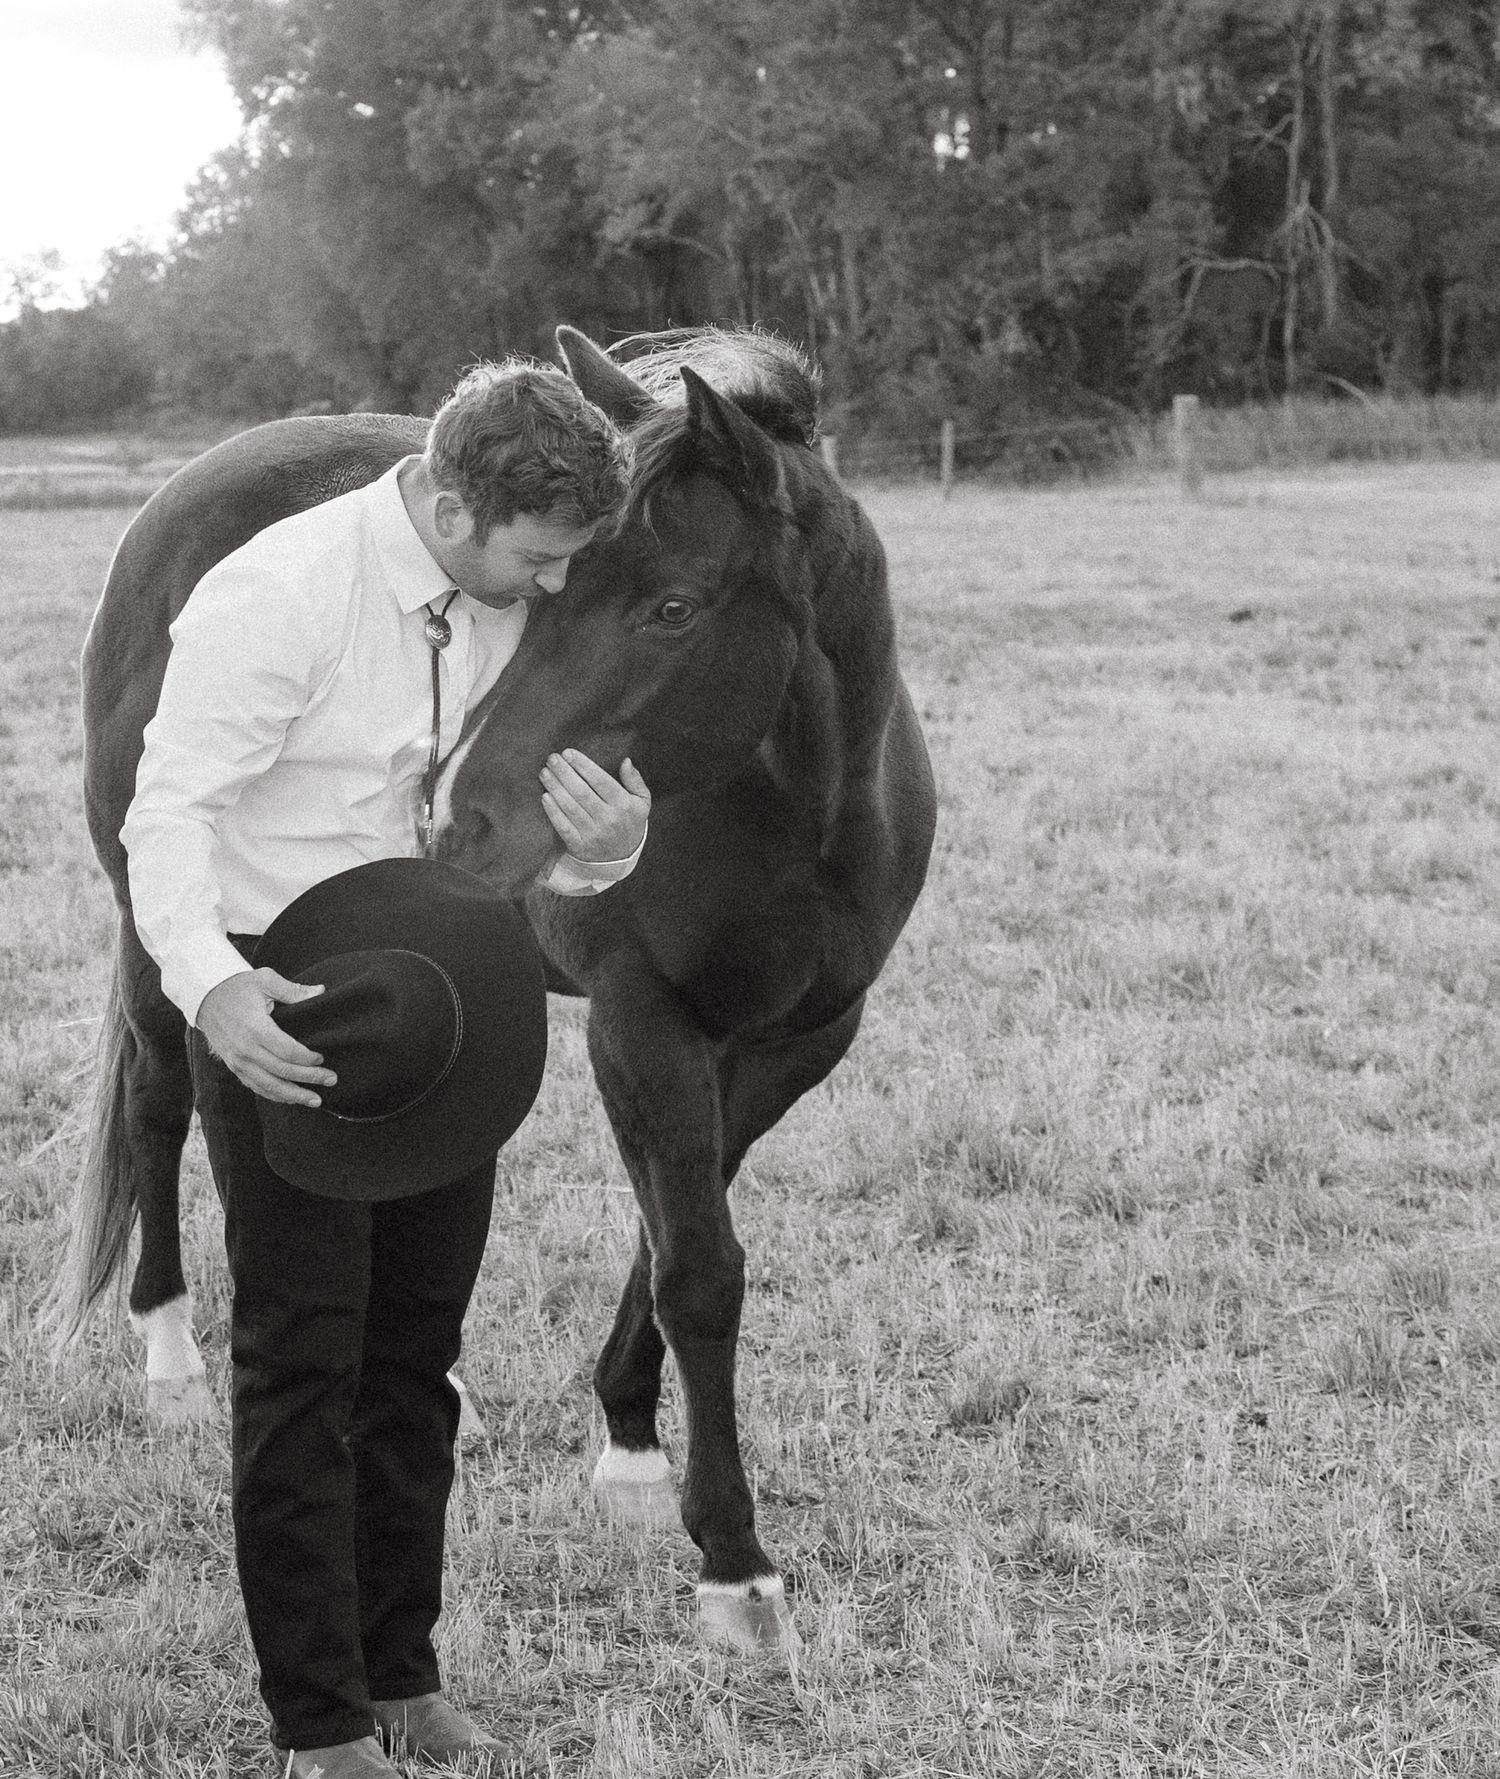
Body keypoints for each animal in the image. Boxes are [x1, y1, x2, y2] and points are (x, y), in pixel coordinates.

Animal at [44, 323, 937, 1649]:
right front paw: (734, 1565)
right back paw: (170, 1363)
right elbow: (698, 1267)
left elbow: (673, 1234)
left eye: (673, 606)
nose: (465, 816)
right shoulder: (640, 1024)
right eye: (548, 597)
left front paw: (628, 1446)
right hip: (160, 913)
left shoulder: (791, 1044)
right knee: (166, 1098)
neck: (803, 819)